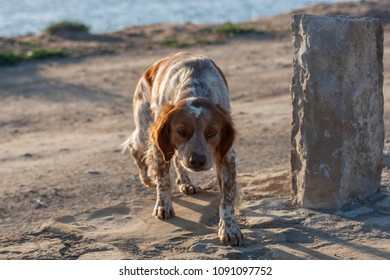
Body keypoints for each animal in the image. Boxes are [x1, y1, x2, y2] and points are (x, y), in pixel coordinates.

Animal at [122, 52, 244, 245]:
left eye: (212, 132)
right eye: (181, 131)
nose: (197, 161)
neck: (196, 88)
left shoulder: (226, 156)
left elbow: (227, 197)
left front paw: (229, 228)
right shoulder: (159, 144)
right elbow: (164, 180)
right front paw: (163, 205)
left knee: (177, 160)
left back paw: (186, 182)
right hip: (144, 127)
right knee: (134, 147)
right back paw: (147, 179)